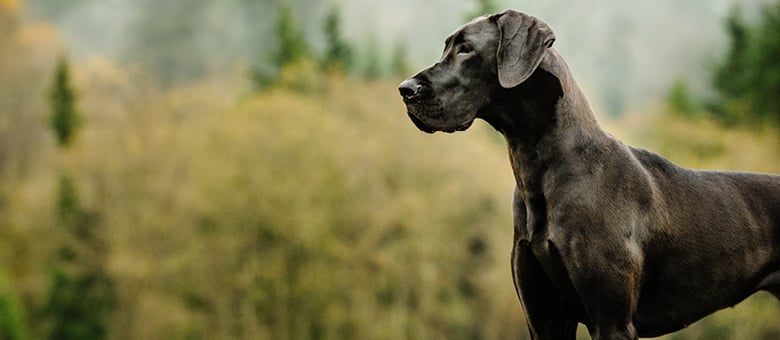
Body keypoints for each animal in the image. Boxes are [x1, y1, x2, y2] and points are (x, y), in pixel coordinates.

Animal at [400, 9, 780, 338]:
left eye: (466, 49)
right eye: (447, 46)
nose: (405, 89)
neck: (541, 170)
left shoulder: (611, 321)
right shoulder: (544, 320)